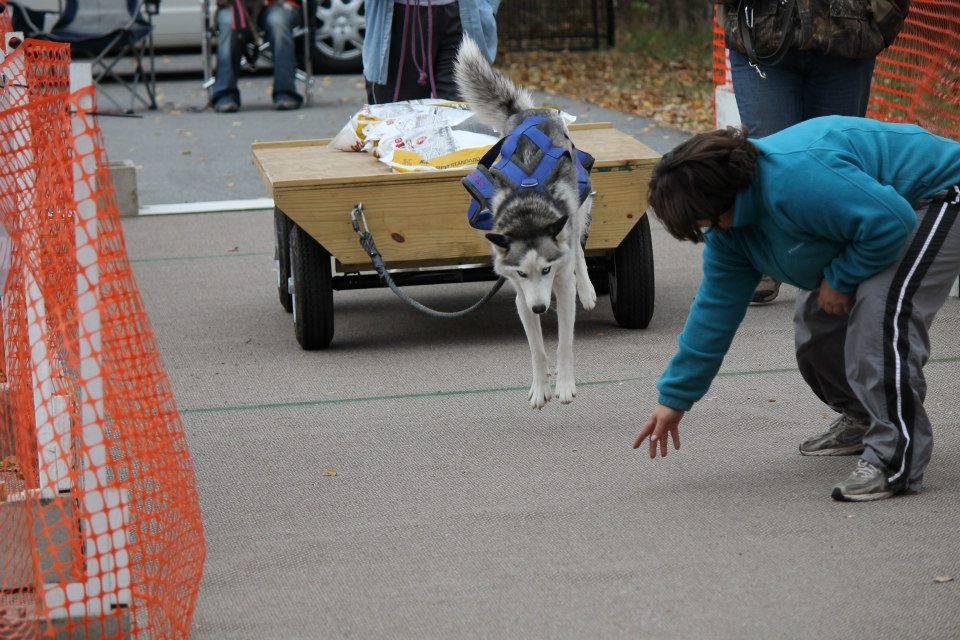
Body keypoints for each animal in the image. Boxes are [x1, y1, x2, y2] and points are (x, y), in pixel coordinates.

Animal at [454, 36, 596, 410]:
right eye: (521, 272)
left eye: (546, 270)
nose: (540, 307)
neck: (529, 212)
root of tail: (529, 113)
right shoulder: (521, 298)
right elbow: (537, 350)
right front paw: (540, 387)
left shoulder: (560, 288)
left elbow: (564, 344)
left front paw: (564, 385)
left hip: (578, 204)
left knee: (577, 247)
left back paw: (588, 289)